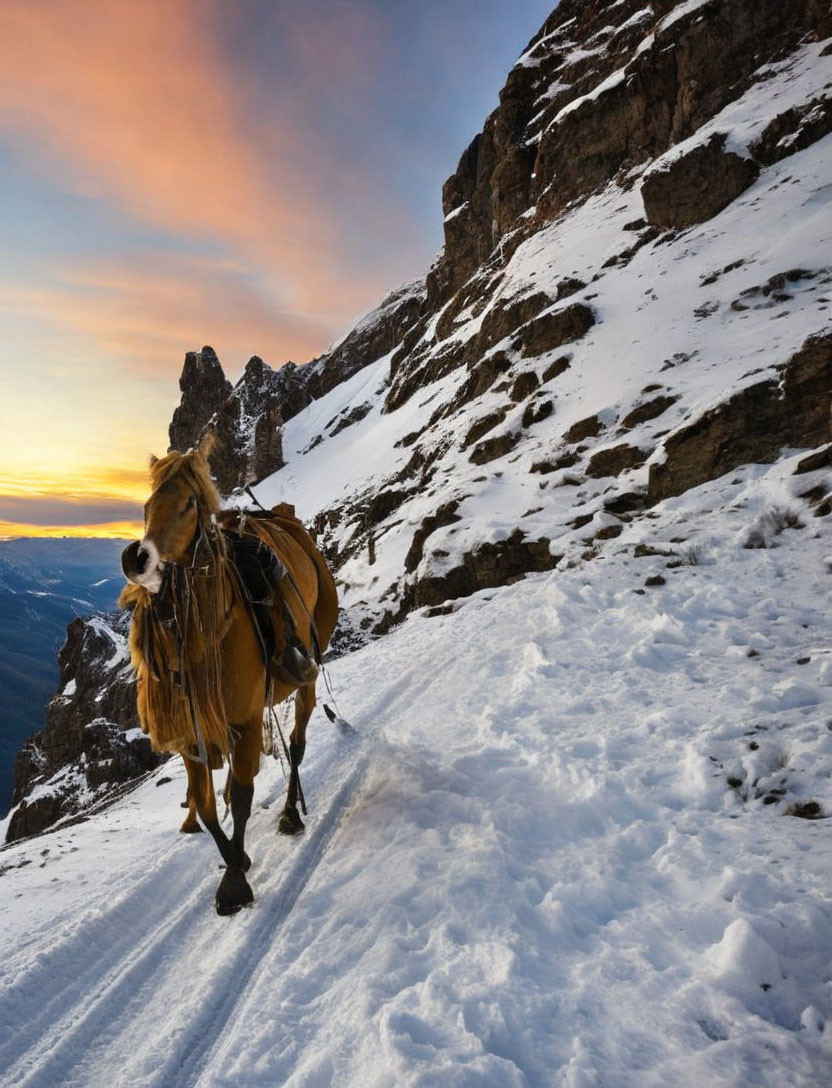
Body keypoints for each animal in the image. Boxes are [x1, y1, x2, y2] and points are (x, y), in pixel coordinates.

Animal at [117, 437, 337, 913]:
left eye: (187, 504)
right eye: (146, 506)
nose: (136, 558)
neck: (209, 635)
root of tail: (283, 517)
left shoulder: (247, 720)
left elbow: (242, 798)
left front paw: (235, 881)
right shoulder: (192, 733)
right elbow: (204, 806)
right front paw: (237, 858)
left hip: (308, 671)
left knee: (297, 745)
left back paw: (291, 813)